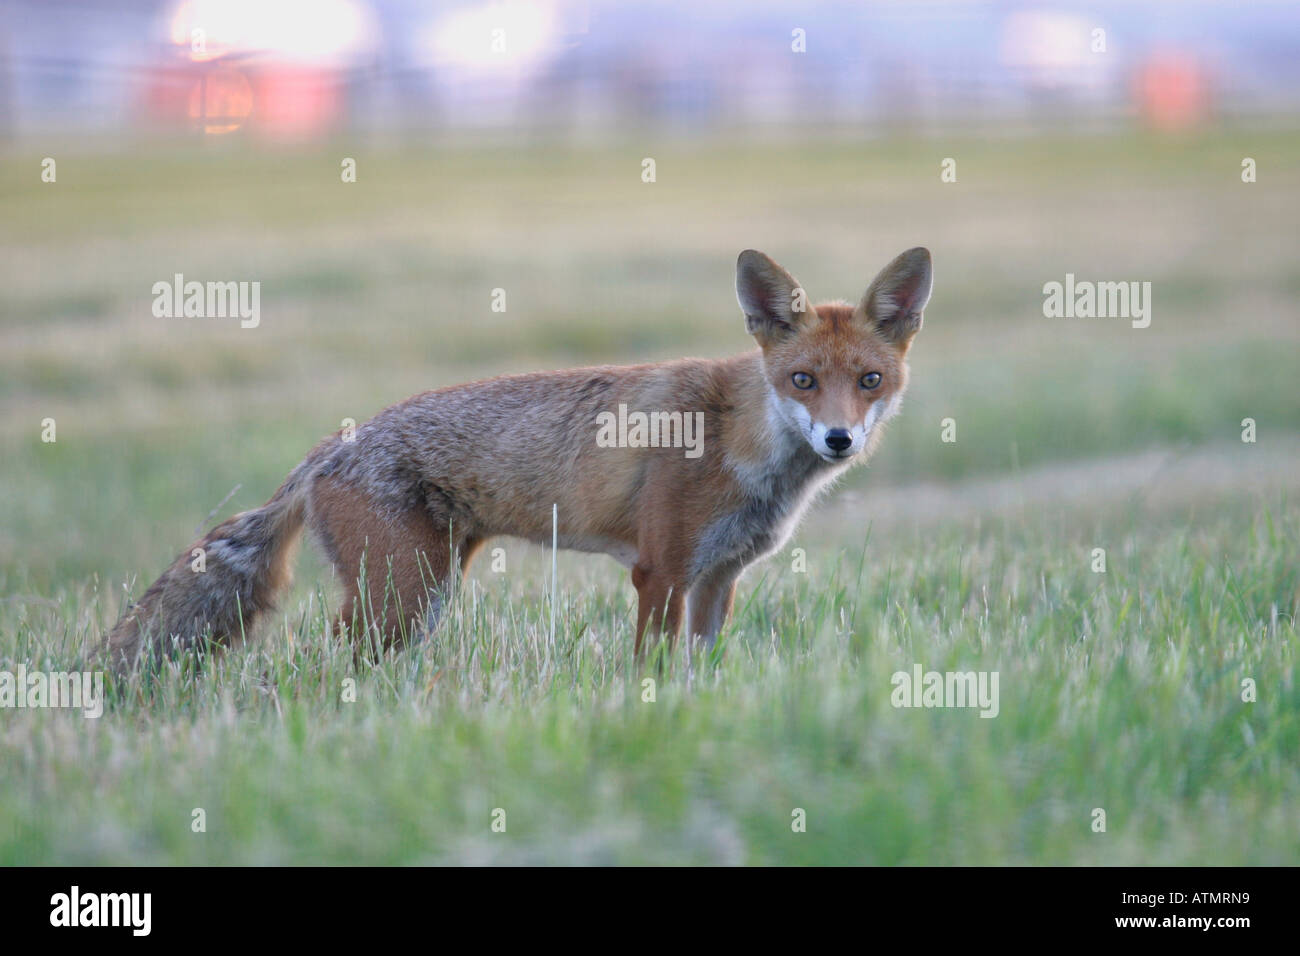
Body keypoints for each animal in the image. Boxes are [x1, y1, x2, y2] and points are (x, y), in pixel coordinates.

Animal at [104, 247, 935, 671]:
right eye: (803, 381)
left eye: (868, 381)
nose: (839, 439)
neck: (740, 441)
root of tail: (328, 446)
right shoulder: (661, 571)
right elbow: (651, 666)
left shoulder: (717, 578)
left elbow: (699, 666)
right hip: (406, 592)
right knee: (323, 653)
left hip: (421, 591)